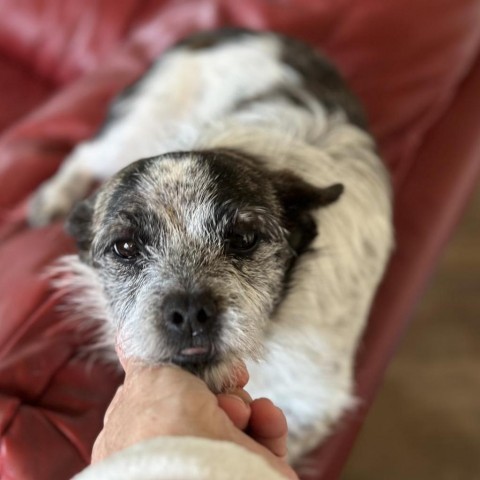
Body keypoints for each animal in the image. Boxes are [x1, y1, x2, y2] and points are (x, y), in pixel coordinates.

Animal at [27, 29, 394, 462]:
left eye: (244, 238)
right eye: (125, 247)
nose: (188, 314)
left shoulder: (310, 406)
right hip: (135, 130)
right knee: (85, 152)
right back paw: (53, 198)